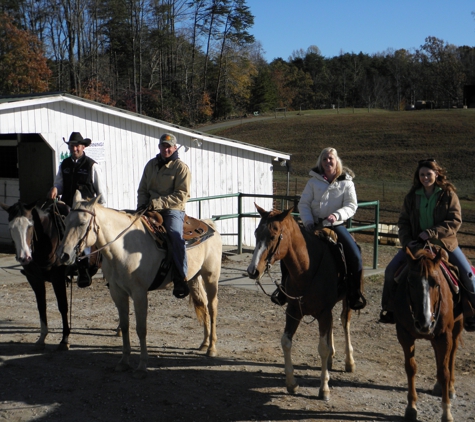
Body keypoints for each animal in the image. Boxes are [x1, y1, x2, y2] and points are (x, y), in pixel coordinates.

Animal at [0, 200, 71, 350]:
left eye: (30, 225)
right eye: (11, 227)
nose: (24, 257)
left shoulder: (58, 278)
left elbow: (63, 306)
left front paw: (65, 340)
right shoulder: (34, 278)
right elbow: (41, 306)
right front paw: (42, 338)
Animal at [56, 191, 222, 380]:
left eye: (82, 223)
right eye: (66, 221)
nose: (63, 255)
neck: (122, 249)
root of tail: (210, 225)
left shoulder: (139, 293)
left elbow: (141, 329)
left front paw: (142, 366)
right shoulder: (117, 292)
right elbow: (125, 325)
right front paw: (123, 362)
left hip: (211, 277)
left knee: (212, 308)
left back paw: (212, 348)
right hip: (194, 278)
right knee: (203, 306)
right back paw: (204, 343)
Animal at [245, 206, 360, 400]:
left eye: (273, 236)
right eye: (256, 233)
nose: (253, 271)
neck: (306, 268)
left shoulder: (323, 313)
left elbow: (322, 348)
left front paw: (324, 388)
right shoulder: (293, 311)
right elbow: (286, 342)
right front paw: (291, 383)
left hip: (347, 301)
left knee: (345, 322)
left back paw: (349, 362)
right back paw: (331, 359)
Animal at [394, 246, 464, 422]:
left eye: (437, 283)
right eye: (410, 282)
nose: (424, 322)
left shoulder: (445, 335)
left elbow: (445, 372)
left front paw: (447, 412)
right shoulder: (404, 334)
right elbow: (411, 368)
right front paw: (411, 407)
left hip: (456, 328)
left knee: (452, 355)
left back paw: (450, 388)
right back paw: (439, 386)